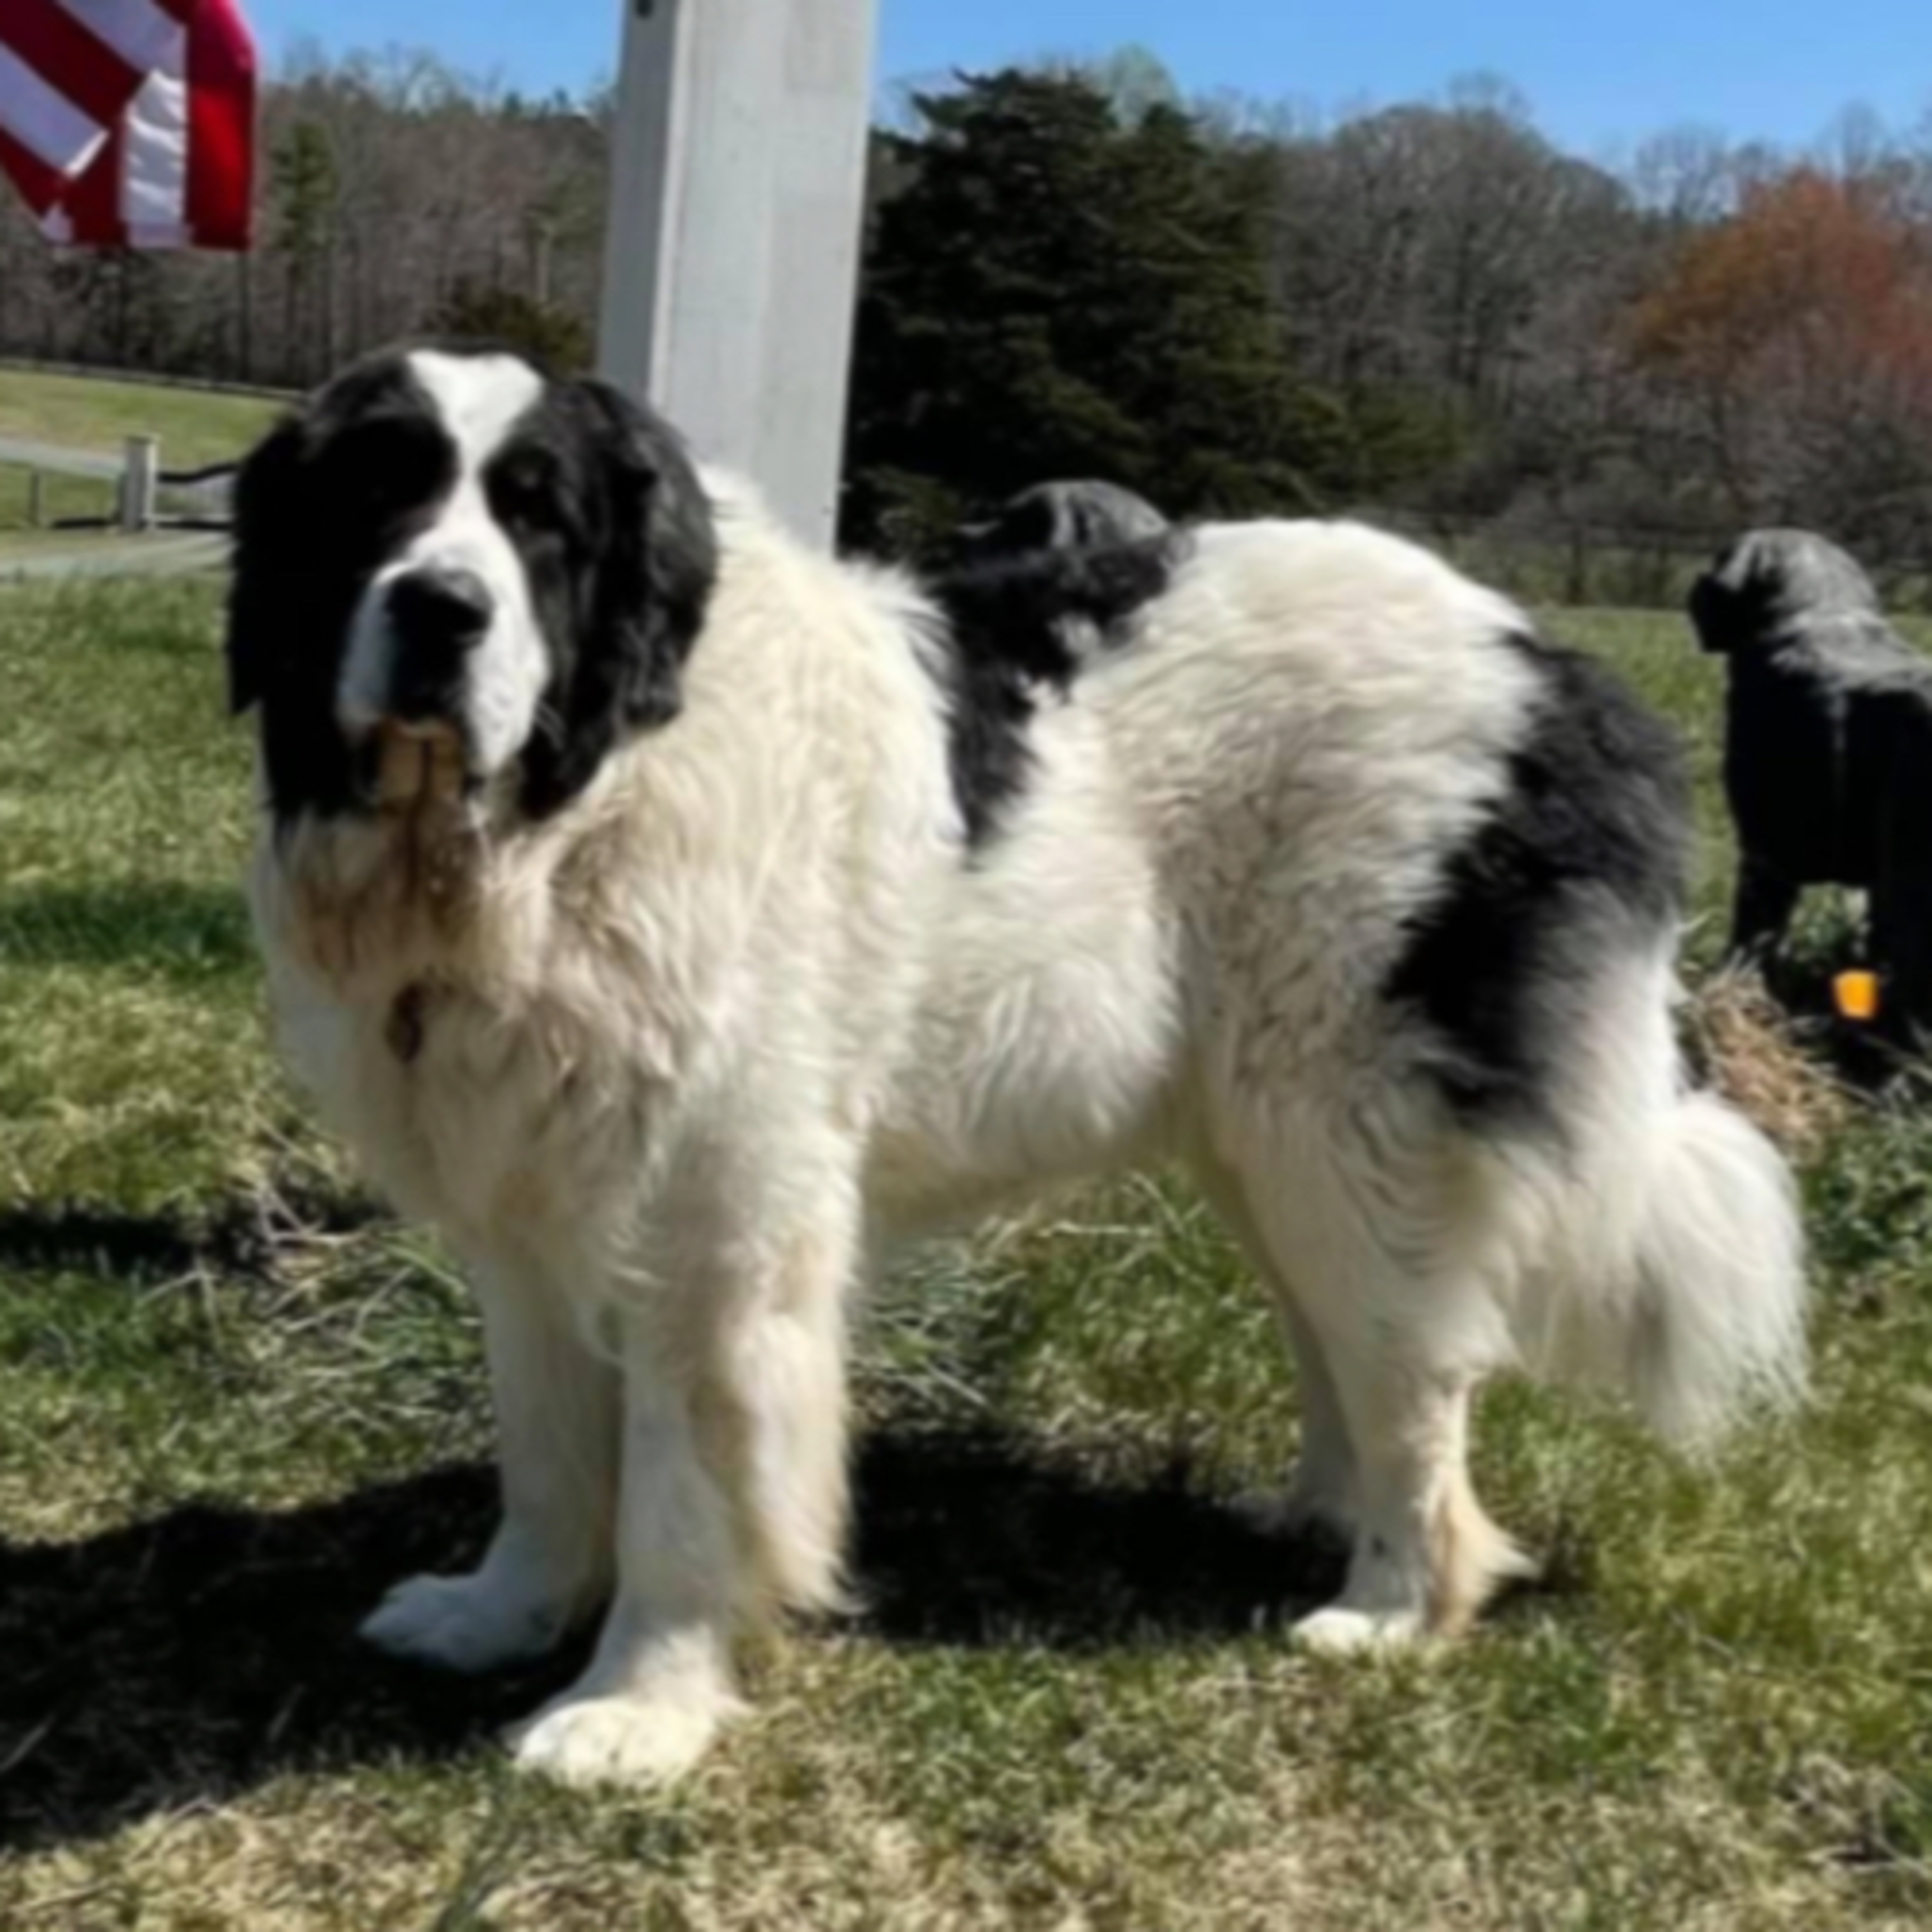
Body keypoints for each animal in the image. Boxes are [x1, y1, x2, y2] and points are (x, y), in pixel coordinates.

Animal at [229, 345, 1806, 1789]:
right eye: (376, 496)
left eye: (538, 519)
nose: (441, 607)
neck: (567, 819)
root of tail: (1549, 666)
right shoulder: (529, 1201)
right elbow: (548, 1452)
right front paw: (497, 1617)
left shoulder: (712, 1228)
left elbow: (688, 1490)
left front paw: (637, 1710)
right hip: (1263, 1134)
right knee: (1345, 1332)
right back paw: (1314, 1519)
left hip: (1348, 1112)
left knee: (1416, 1367)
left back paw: (1393, 1604)